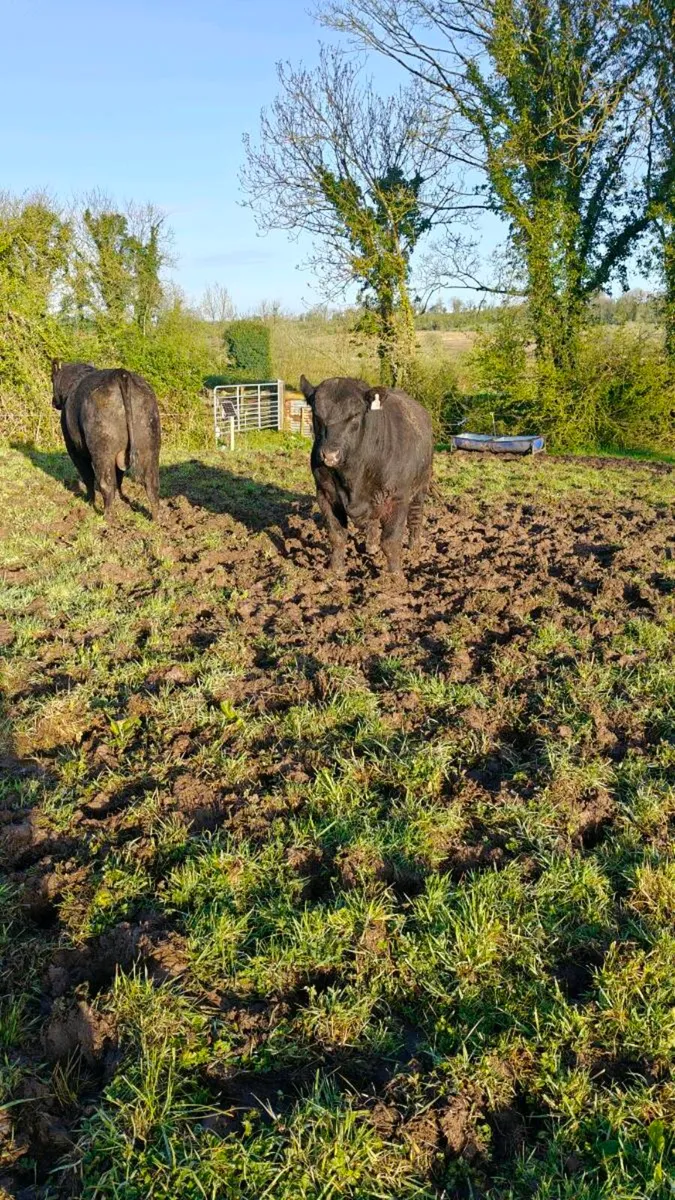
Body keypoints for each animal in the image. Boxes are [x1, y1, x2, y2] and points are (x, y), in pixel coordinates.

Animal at [51, 361, 161, 520]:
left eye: (52, 378)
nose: (53, 402)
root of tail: (121, 374)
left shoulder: (73, 449)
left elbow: (87, 476)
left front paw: (89, 502)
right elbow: (119, 478)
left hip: (102, 452)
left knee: (106, 484)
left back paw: (107, 517)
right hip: (150, 446)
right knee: (151, 484)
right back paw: (156, 519)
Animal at [300, 375, 433, 577]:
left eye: (355, 415)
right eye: (317, 415)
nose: (330, 454)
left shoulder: (398, 498)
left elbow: (391, 541)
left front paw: (395, 577)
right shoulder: (324, 494)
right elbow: (337, 535)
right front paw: (335, 571)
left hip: (421, 486)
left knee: (416, 516)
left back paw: (414, 548)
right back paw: (371, 546)